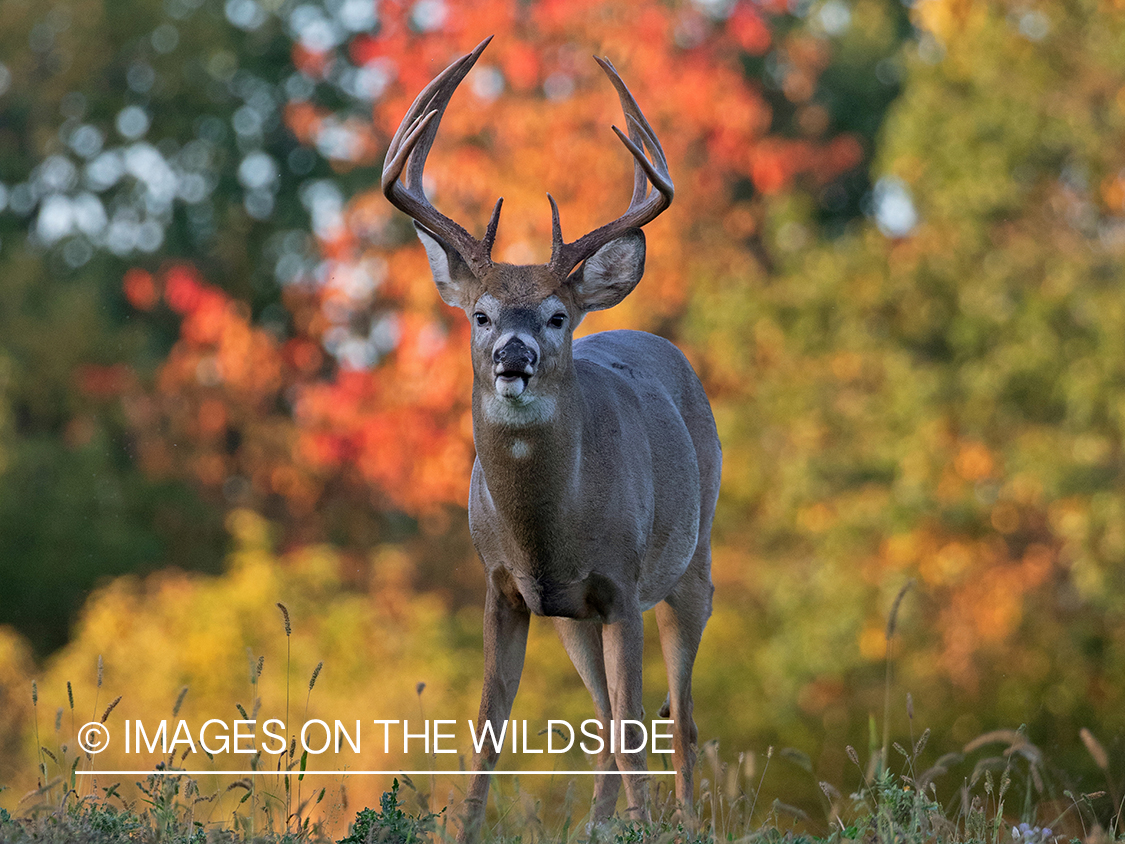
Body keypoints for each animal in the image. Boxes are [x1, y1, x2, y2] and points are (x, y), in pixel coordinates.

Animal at [384, 36, 720, 841]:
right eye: (479, 314)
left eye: (557, 315)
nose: (514, 356)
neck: (548, 527)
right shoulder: (504, 586)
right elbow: (486, 729)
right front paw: (465, 829)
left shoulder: (622, 585)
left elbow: (638, 727)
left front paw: (645, 825)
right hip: (572, 618)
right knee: (603, 720)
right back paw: (599, 826)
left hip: (693, 563)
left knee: (678, 718)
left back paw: (685, 821)